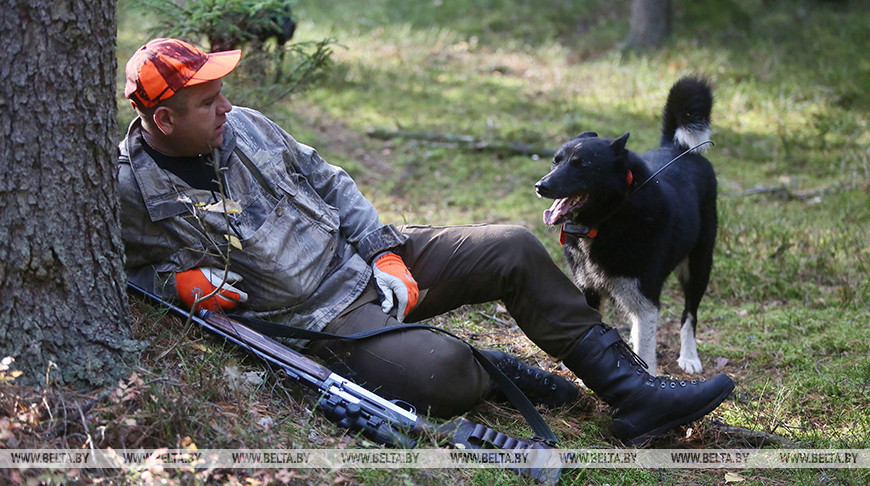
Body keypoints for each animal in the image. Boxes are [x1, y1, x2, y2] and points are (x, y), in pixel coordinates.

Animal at [540, 76, 724, 374]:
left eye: (582, 165)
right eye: (556, 161)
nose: (540, 185)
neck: (607, 219)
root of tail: (678, 148)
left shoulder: (645, 299)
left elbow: (646, 350)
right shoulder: (588, 290)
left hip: (699, 265)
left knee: (689, 315)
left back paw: (689, 356)